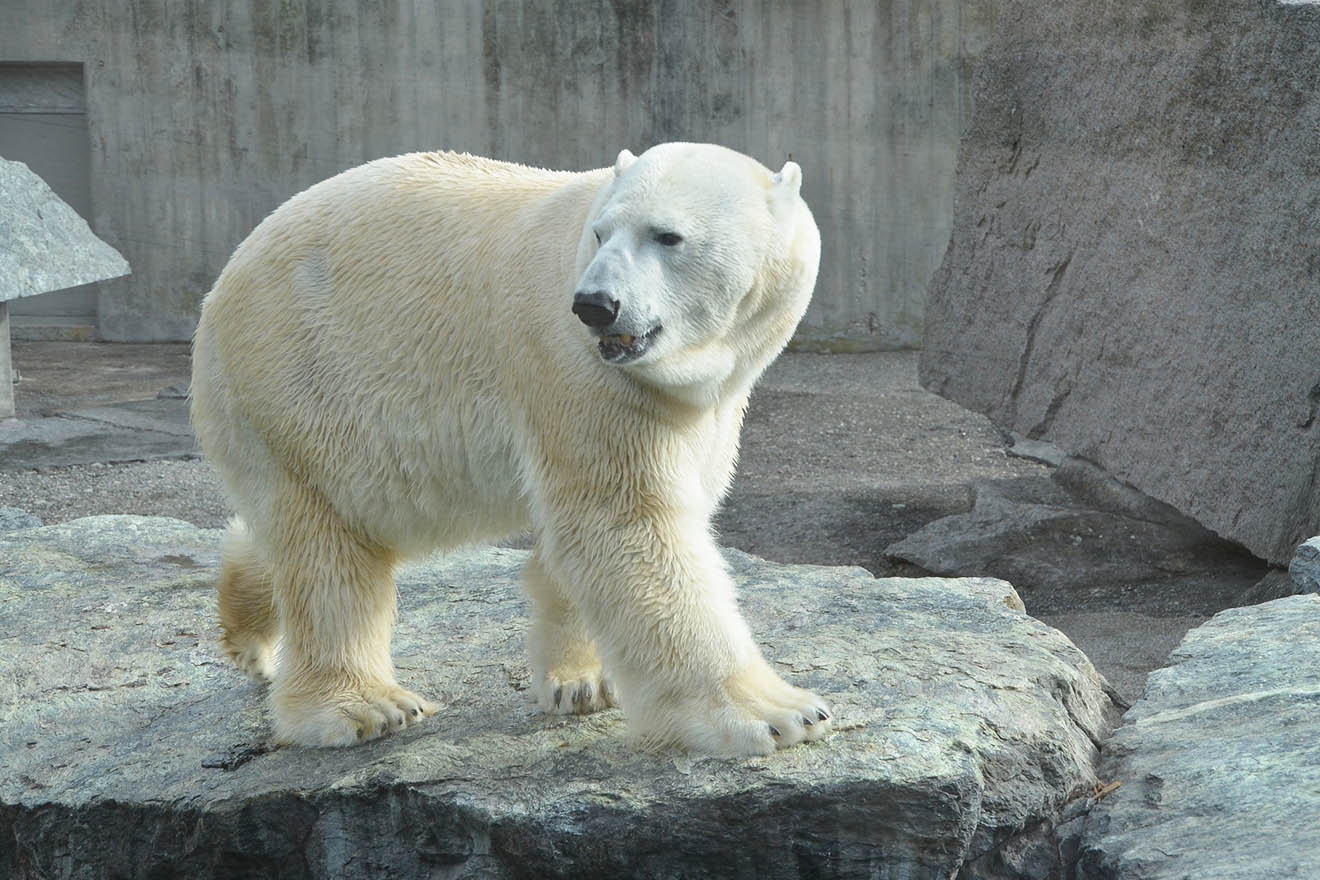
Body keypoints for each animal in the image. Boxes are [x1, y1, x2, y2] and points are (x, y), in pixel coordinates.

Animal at [191, 144, 828, 759]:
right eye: (602, 232)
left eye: (667, 235)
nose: (596, 305)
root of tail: (225, 278)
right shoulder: (581, 369)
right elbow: (629, 522)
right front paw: (781, 714)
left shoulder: (701, 402)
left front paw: (581, 682)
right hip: (298, 381)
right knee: (325, 545)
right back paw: (364, 707)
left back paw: (251, 633)